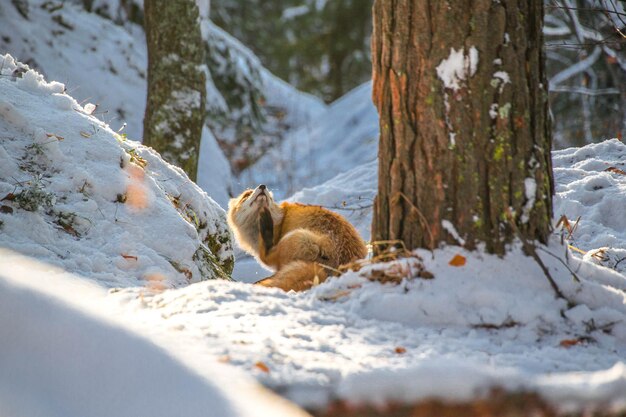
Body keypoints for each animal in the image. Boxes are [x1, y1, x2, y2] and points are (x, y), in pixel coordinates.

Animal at [228, 184, 366, 290]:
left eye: (270, 198)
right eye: (246, 195)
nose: (263, 186)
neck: (279, 222)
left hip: (296, 237)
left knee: (266, 257)